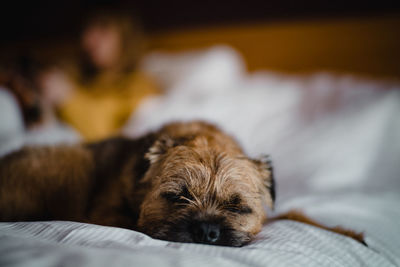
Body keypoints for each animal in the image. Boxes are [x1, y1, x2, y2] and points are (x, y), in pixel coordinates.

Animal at [0, 121, 366, 247]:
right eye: (178, 197)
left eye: (236, 207)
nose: (206, 231)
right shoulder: (104, 211)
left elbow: (294, 216)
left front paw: (348, 234)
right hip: (70, 165)